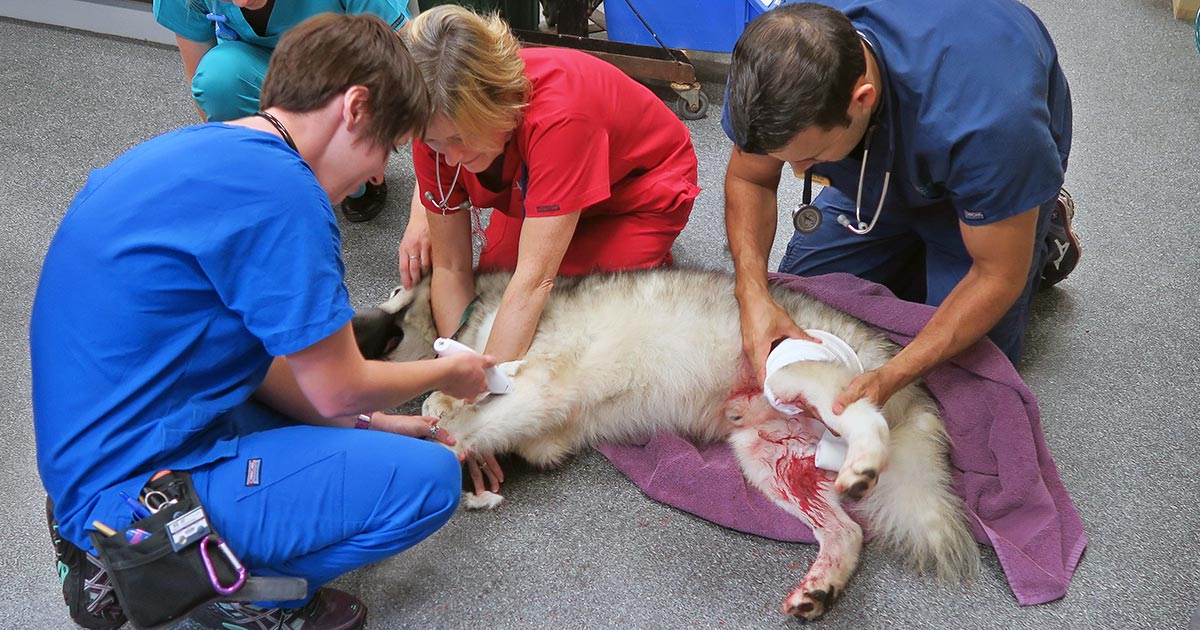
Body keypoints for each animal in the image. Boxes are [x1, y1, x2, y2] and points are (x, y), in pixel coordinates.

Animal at [352, 267, 974, 614]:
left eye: (396, 287)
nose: (351, 329)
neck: (470, 316)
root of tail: (896, 364)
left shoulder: (539, 388)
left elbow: (454, 430)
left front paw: (428, 442)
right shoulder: (547, 430)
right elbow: (476, 427)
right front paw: (457, 442)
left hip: (796, 375)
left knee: (867, 419)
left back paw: (866, 460)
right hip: (764, 457)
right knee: (846, 531)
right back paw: (822, 585)